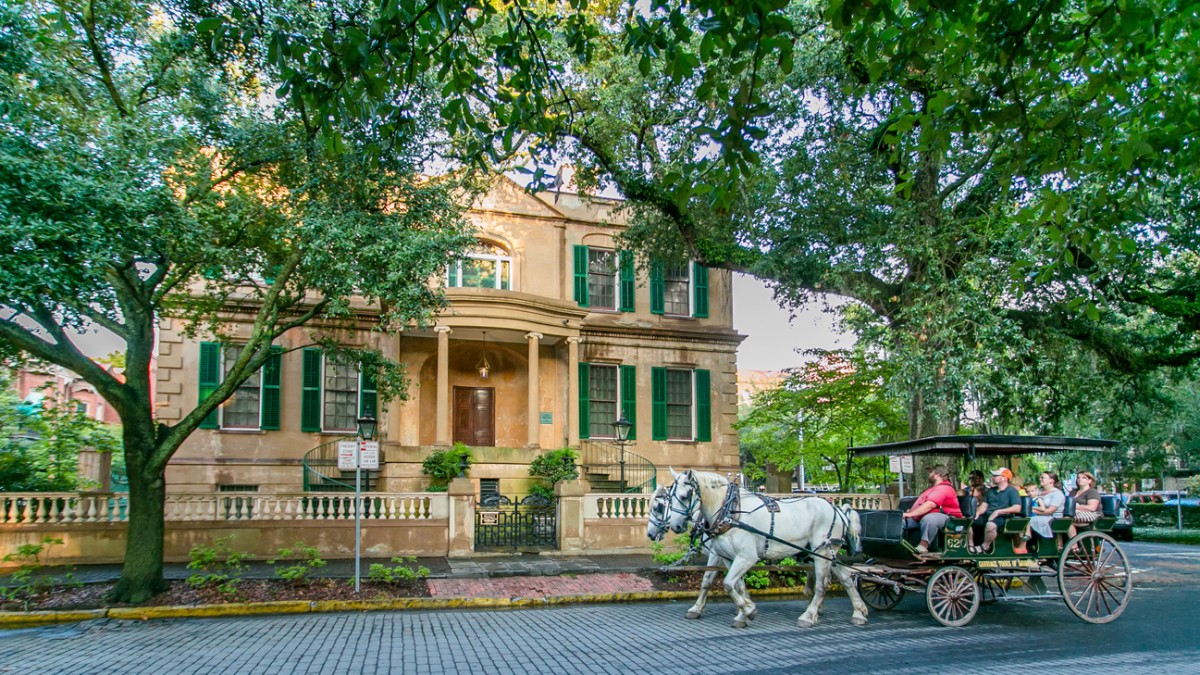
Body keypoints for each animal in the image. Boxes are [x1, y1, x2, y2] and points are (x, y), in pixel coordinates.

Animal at [662, 468, 868, 624]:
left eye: (685, 496)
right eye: (670, 498)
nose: (676, 526)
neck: (730, 511)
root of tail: (836, 508)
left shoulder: (745, 557)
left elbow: (726, 583)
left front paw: (747, 610)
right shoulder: (729, 557)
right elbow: (736, 585)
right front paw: (744, 612)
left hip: (822, 551)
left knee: (822, 585)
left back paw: (809, 615)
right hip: (825, 553)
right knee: (846, 576)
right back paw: (858, 611)